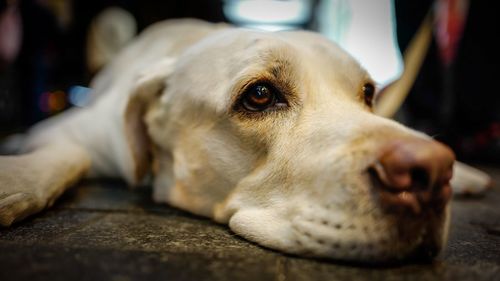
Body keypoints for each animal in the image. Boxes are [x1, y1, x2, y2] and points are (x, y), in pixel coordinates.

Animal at [0, 19, 492, 262]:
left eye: (368, 93)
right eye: (259, 95)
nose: (432, 171)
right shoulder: (66, 128)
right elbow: (65, 157)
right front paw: (15, 180)